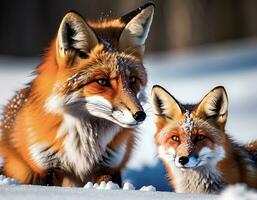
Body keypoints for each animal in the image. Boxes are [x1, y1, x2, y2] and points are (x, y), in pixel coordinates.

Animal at [0, 3, 153, 187]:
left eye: (133, 80)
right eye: (102, 82)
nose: (140, 115)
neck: (84, 145)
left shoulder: (109, 167)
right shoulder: (46, 168)